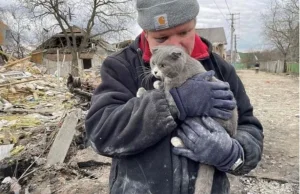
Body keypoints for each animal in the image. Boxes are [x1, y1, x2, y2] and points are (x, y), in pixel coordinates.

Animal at [137, 45, 238, 194]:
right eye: (153, 63)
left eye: (163, 65)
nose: (155, 72)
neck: (182, 67)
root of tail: (229, 134)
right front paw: (157, 83)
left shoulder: (173, 93)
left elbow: (164, 95)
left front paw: (142, 91)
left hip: (201, 119)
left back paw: (177, 141)